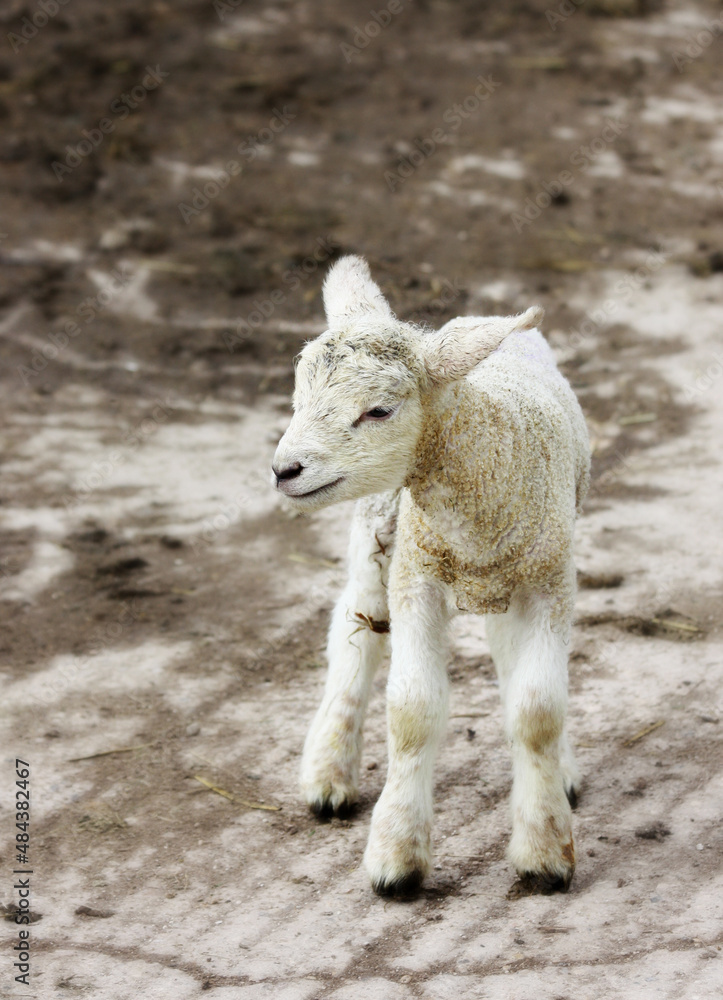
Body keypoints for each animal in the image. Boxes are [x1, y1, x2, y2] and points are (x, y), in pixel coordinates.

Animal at [272, 255, 590, 896]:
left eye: (379, 410)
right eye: (297, 398)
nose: (284, 469)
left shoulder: (548, 582)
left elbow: (538, 710)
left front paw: (545, 849)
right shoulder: (415, 577)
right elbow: (413, 712)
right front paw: (396, 855)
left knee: (507, 657)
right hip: (377, 536)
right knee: (353, 630)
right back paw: (328, 770)